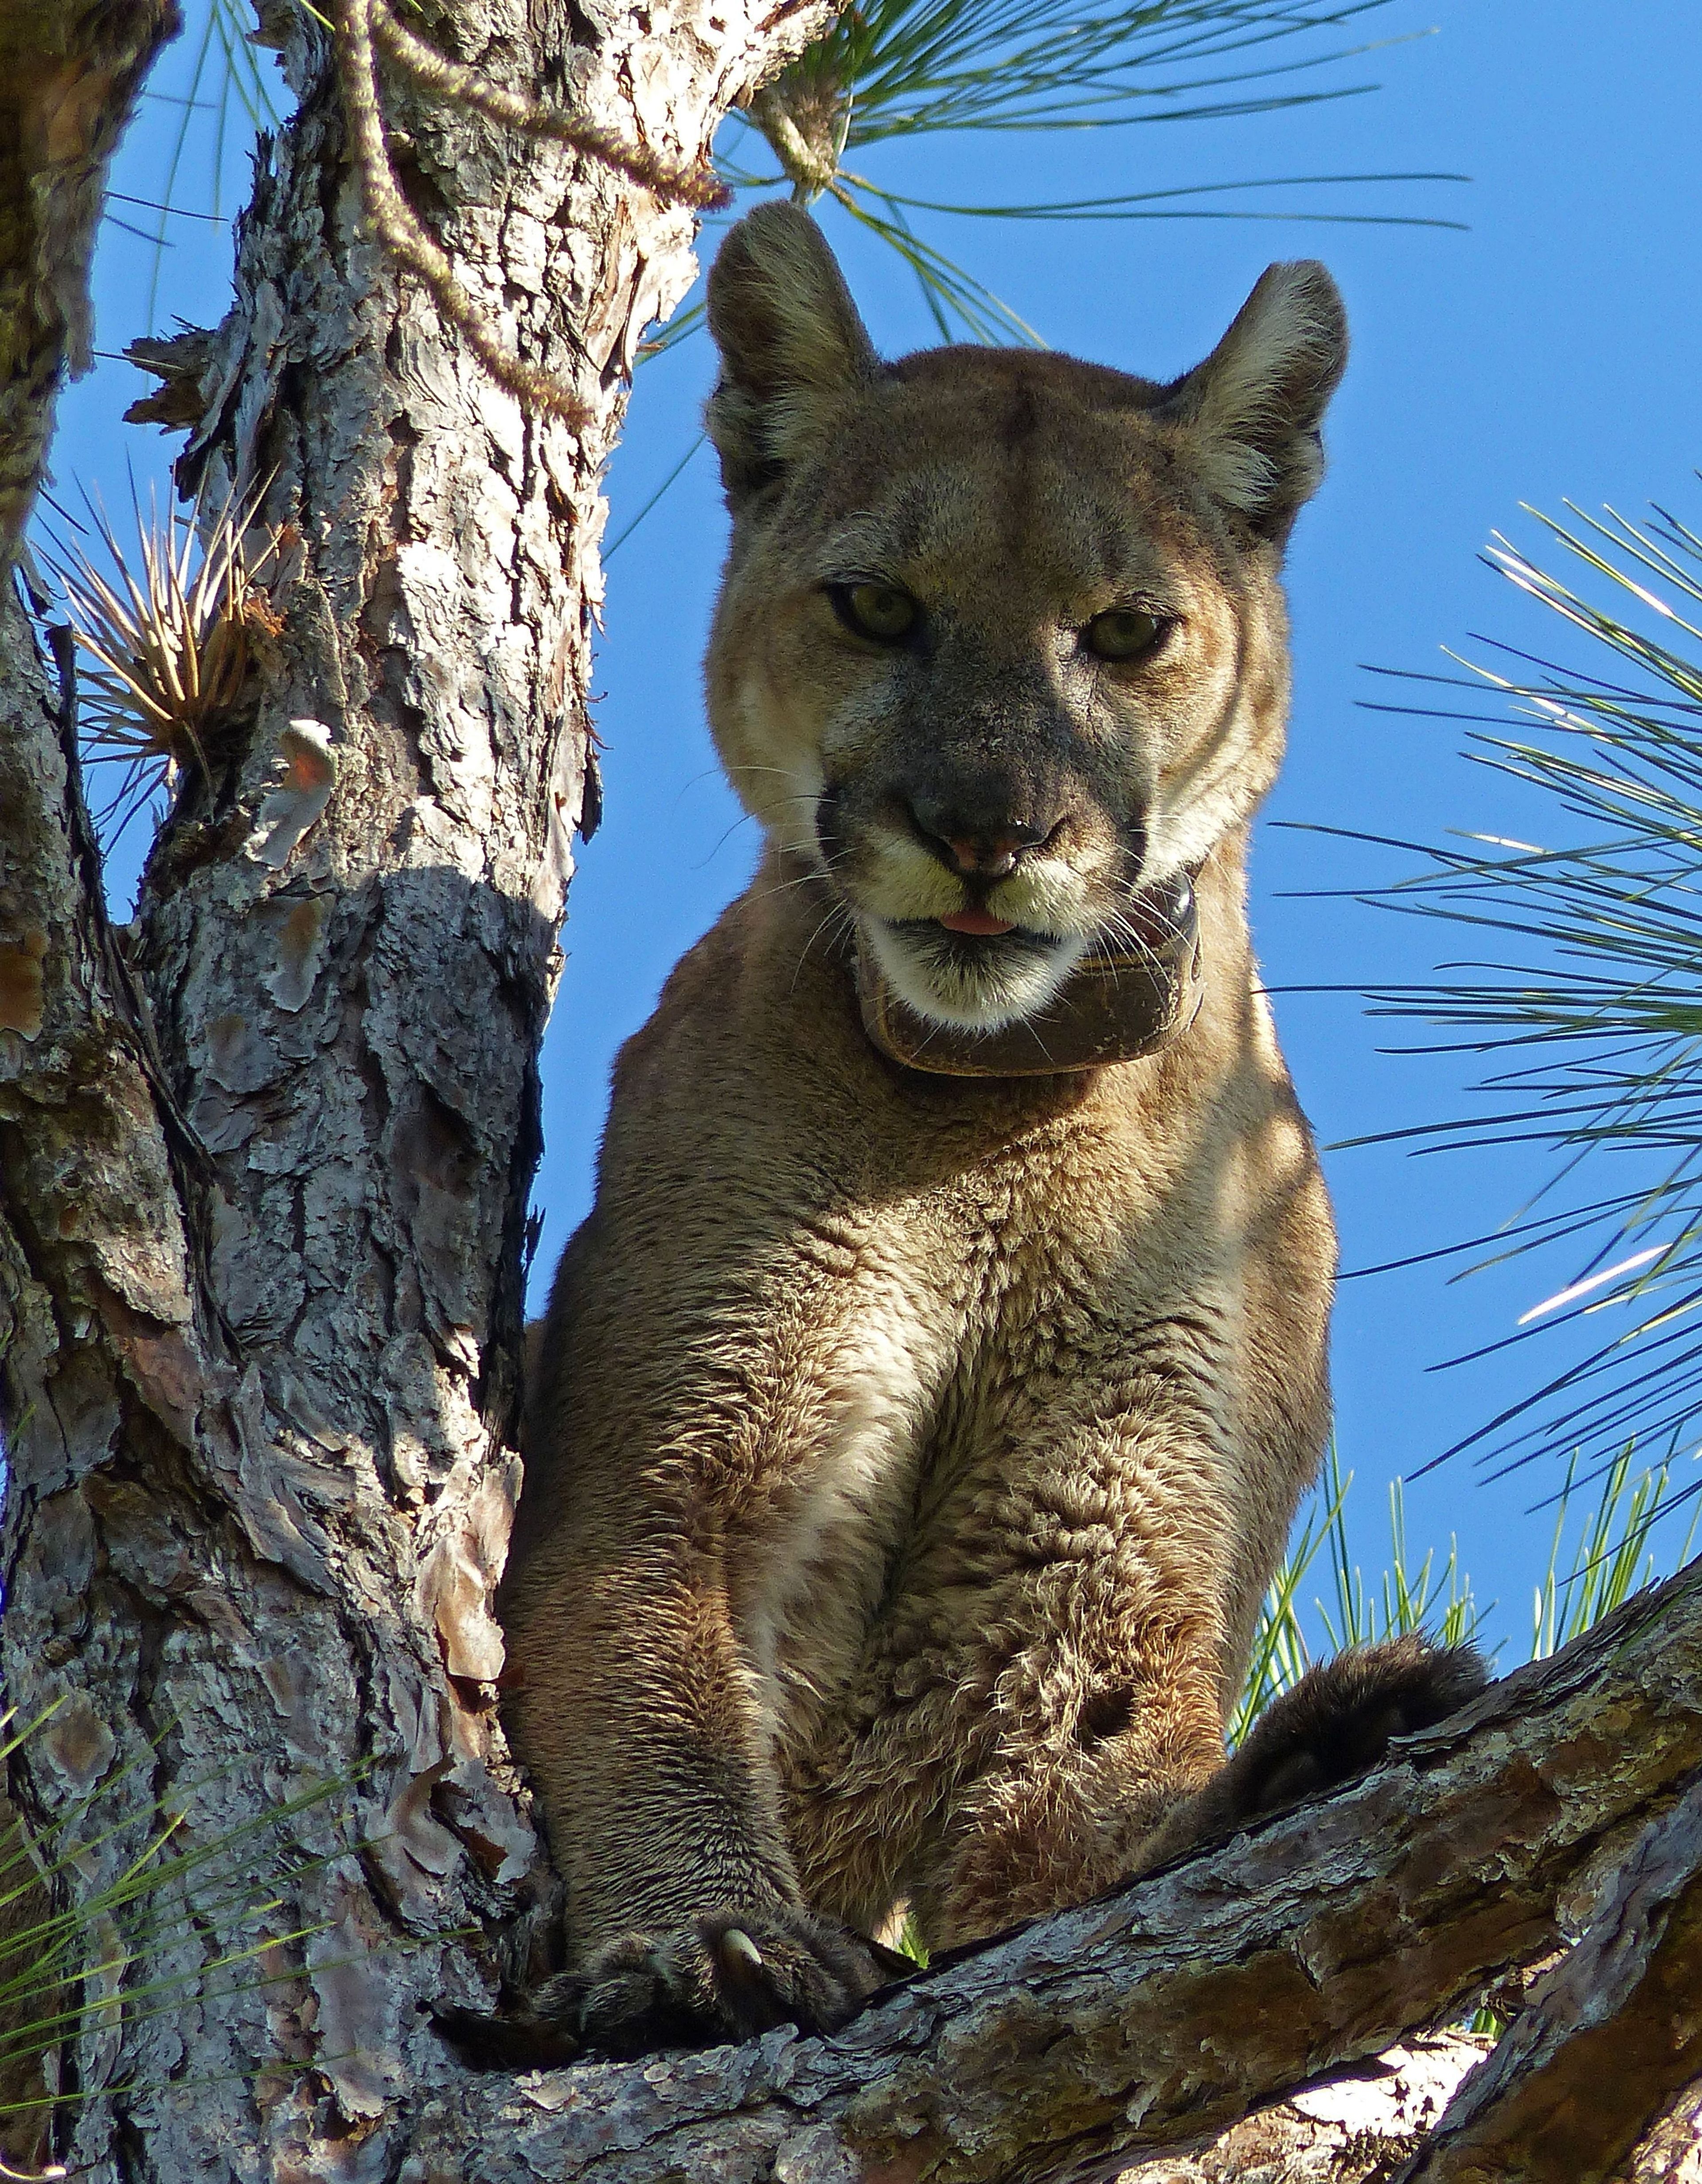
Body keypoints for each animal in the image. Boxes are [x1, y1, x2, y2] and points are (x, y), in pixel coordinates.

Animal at [472, 205, 1485, 2062]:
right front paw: (697, 1943)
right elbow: (653, 1699)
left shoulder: (1099, 1545)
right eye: (878, 606)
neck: (994, 1116)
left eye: (1130, 630)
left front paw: (1313, 1752)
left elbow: (1077, 1829)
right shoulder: (669, 1471)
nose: (987, 831)